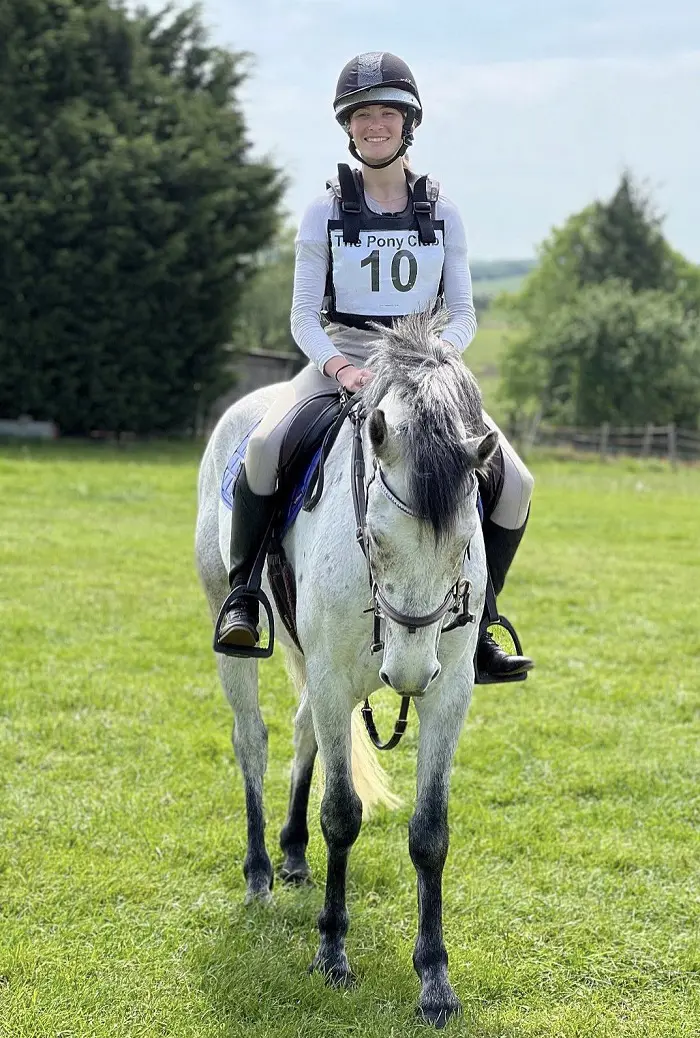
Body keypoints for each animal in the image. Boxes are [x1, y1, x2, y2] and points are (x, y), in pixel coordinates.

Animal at [195, 308, 498, 1027]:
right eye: (376, 540)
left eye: (465, 545)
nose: (410, 675)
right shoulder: (336, 677)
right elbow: (343, 814)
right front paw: (332, 953)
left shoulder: (450, 693)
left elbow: (430, 832)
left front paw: (435, 980)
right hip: (235, 628)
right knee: (253, 739)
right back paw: (260, 873)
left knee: (303, 731)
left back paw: (293, 855)